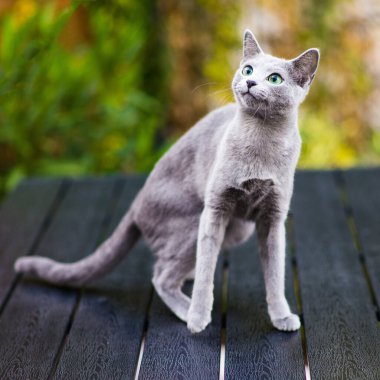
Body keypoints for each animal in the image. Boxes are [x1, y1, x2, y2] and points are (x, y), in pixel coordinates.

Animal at [14, 29, 320, 332]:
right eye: (247, 69)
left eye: (275, 78)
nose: (250, 81)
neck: (261, 140)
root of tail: (136, 203)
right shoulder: (215, 209)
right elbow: (207, 270)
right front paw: (198, 316)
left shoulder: (273, 217)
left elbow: (275, 273)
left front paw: (282, 317)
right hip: (192, 223)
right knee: (161, 275)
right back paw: (187, 308)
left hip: (236, 229)